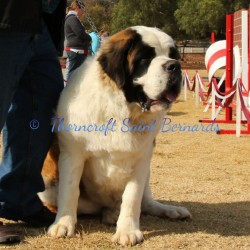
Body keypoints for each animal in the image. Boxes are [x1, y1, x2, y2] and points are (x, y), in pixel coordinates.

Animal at [39, 25, 191, 246]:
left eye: (173, 55)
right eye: (145, 59)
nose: (174, 66)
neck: (122, 108)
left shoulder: (141, 159)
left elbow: (132, 197)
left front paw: (128, 231)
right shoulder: (72, 154)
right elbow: (70, 191)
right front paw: (63, 225)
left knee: (146, 202)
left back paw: (169, 211)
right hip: (47, 187)